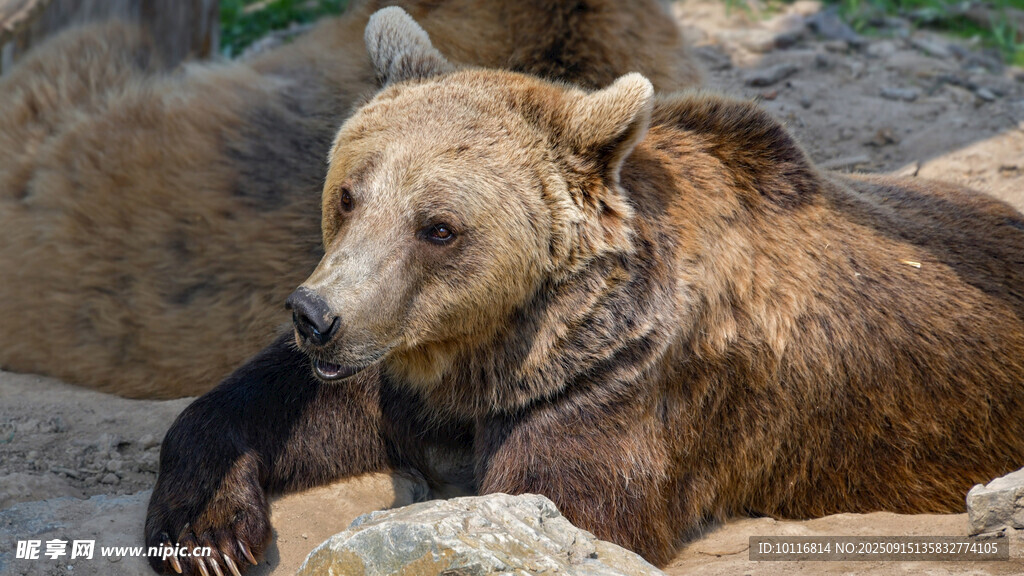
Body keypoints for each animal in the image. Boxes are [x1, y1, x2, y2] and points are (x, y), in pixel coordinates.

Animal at [143, 8, 1024, 575]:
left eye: (439, 226)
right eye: (350, 194)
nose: (316, 316)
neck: (504, 345)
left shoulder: (622, 389)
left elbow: (559, 504)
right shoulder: (409, 358)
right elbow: (279, 404)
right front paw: (206, 534)